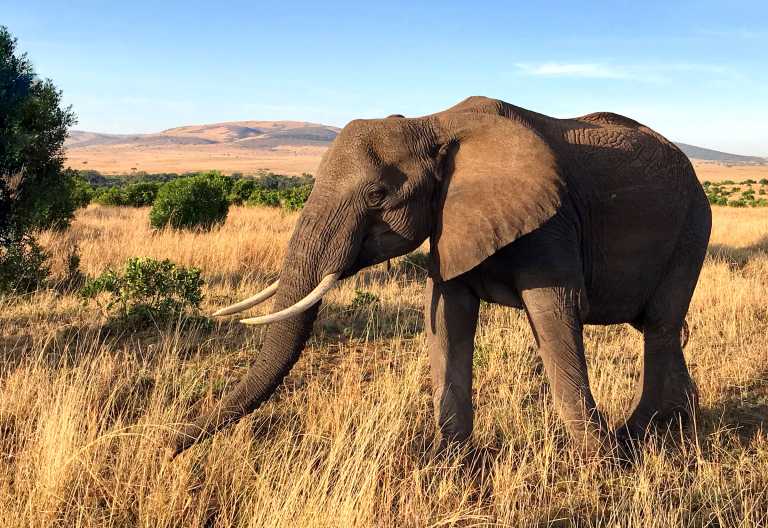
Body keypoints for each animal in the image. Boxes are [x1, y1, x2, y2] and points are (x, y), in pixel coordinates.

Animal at [168, 96, 712, 459]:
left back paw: (638, 436)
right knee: (663, 331)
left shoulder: (552, 221)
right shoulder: (451, 220)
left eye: (377, 195)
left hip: (692, 224)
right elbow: (449, 315)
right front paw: (449, 461)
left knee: (660, 328)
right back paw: (677, 423)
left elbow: (555, 317)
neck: (432, 123)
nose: (169, 446)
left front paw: (599, 465)